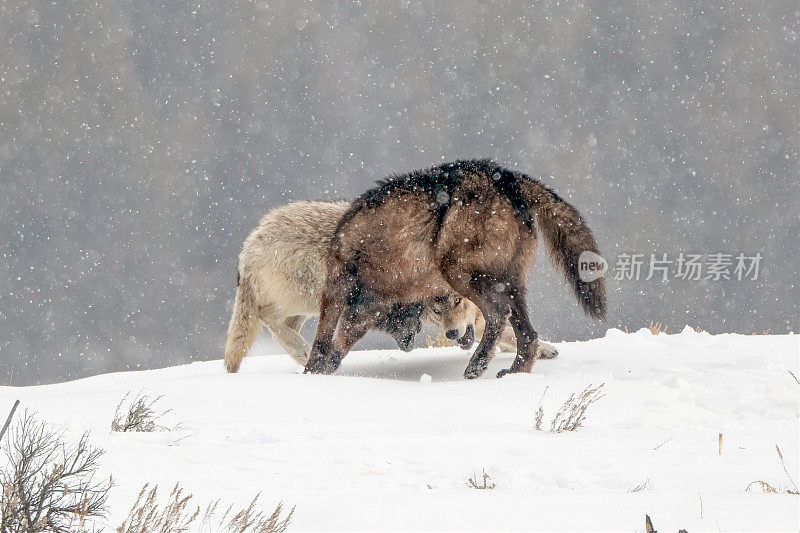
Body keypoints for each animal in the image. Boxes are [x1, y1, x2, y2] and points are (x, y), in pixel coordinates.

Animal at [225, 198, 556, 370]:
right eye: (438, 309)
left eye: (456, 302)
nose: (451, 333)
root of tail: (252, 239)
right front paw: (541, 350)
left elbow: (500, 329)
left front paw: (538, 349)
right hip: (308, 295)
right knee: (267, 318)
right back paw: (305, 353)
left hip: (310, 306)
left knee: (284, 326)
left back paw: (304, 354)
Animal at [306, 158, 608, 378]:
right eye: (436, 312)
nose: (407, 343)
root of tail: (508, 177)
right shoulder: (368, 305)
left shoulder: (344, 288)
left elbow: (324, 340)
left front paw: (313, 374)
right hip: (510, 284)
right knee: (528, 334)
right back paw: (514, 373)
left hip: (457, 270)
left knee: (498, 314)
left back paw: (476, 367)